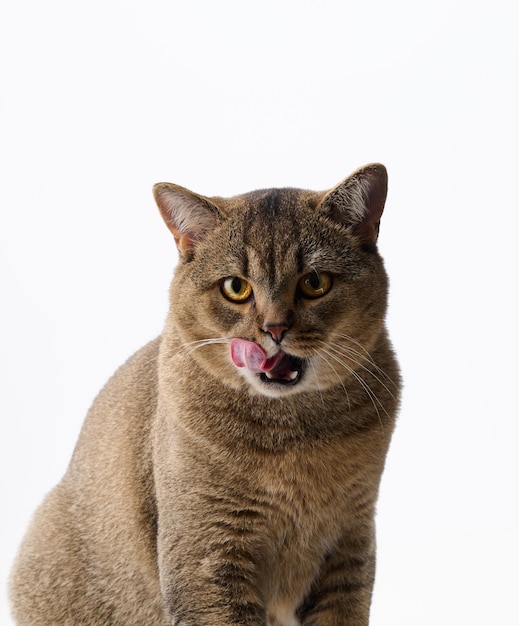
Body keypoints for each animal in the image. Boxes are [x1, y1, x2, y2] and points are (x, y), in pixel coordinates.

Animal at [9, 163, 402, 620]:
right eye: (236, 287)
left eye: (315, 282)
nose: (274, 329)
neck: (292, 433)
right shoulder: (206, 551)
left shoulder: (350, 544)